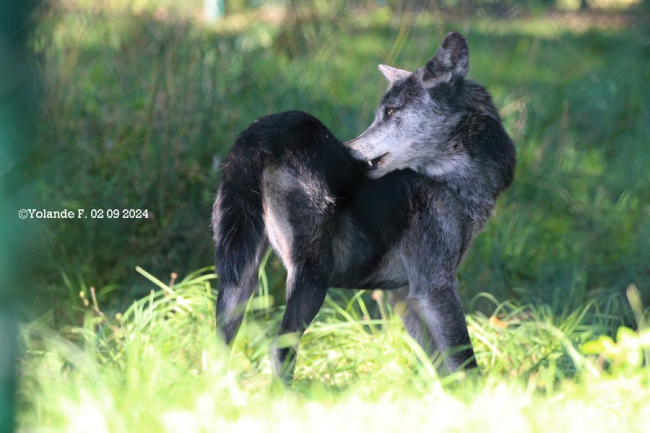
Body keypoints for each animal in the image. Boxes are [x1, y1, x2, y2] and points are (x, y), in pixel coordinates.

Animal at [213, 32, 516, 380]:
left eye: (391, 113)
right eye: (380, 113)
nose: (348, 150)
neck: (448, 178)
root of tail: (265, 130)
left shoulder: (404, 296)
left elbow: (437, 368)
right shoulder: (435, 288)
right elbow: (464, 361)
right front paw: (477, 394)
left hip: (239, 279)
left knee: (217, 345)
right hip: (312, 277)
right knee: (279, 349)